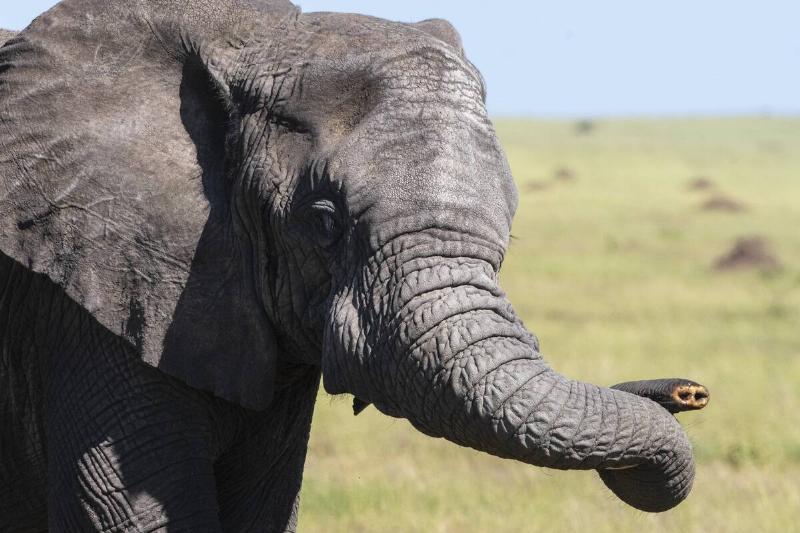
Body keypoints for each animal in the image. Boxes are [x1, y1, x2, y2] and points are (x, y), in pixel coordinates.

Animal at [0, 0, 709, 530]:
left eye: (510, 224)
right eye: (323, 221)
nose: (688, 392)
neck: (251, 36)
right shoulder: (91, 287)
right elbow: (132, 516)